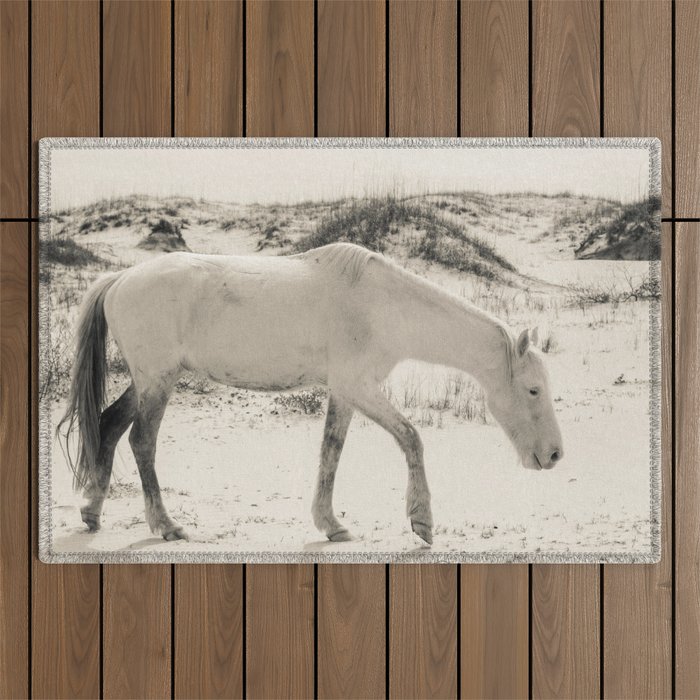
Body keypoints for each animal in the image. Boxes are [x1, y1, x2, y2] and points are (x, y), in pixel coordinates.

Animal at [58, 242, 563, 545]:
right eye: (533, 389)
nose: (555, 455)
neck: (383, 307)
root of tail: (120, 279)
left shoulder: (344, 392)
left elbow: (331, 453)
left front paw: (331, 524)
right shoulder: (359, 388)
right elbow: (411, 438)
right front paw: (422, 522)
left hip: (146, 381)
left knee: (107, 425)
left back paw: (92, 513)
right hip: (158, 380)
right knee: (141, 441)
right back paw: (165, 525)